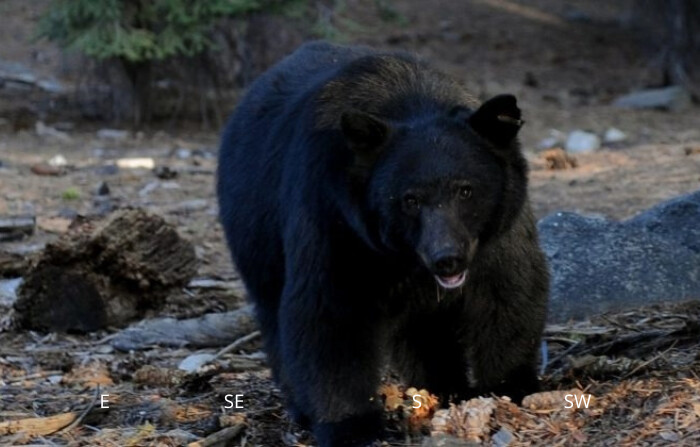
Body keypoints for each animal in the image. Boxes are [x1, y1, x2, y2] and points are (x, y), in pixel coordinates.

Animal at [216, 42, 548, 447]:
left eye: (466, 190)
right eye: (410, 199)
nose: (447, 260)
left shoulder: (497, 234)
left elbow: (509, 292)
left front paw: (508, 386)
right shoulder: (335, 219)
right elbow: (331, 314)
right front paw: (351, 425)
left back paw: (442, 385)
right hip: (255, 234)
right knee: (273, 313)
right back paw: (301, 407)